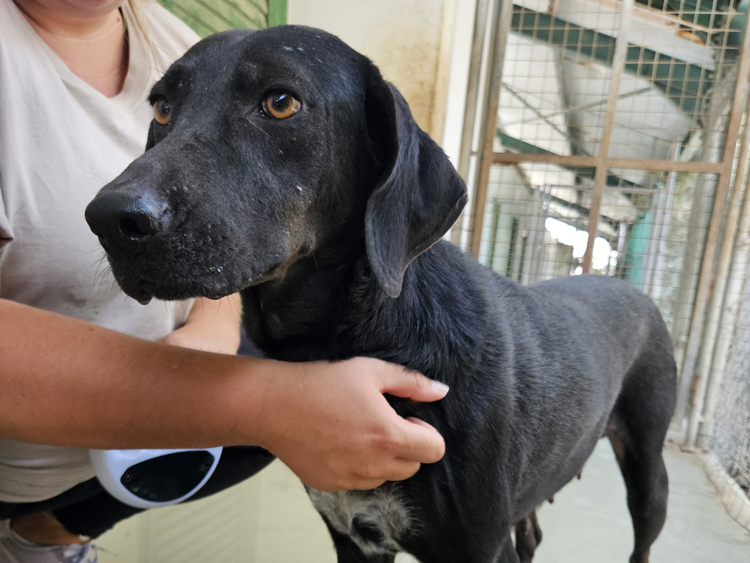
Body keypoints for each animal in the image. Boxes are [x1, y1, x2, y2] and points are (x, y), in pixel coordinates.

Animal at [85, 25, 680, 563]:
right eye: (163, 108)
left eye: (280, 102)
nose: (110, 219)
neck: (364, 336)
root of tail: (628, 285)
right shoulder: (355, 538)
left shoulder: (482, 548)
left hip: (649, 474)